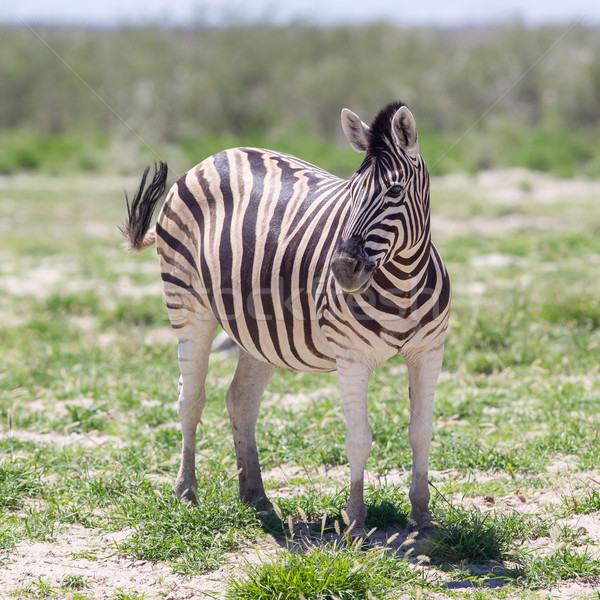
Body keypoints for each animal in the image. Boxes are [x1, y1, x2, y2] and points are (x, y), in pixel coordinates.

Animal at [120, 101, 450, 528]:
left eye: (395, 190)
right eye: (351, 190)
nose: (342, 269)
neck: (403, 283)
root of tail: (213, 157)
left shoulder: (429, 352)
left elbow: (421, 432)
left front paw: (422, 517)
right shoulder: (352, 358)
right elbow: (358, 438)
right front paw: (355, 520)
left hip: (258, 331)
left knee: (241, 400)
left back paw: (255, 497)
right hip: (189, 307)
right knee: (190, 399)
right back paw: (187, 492)